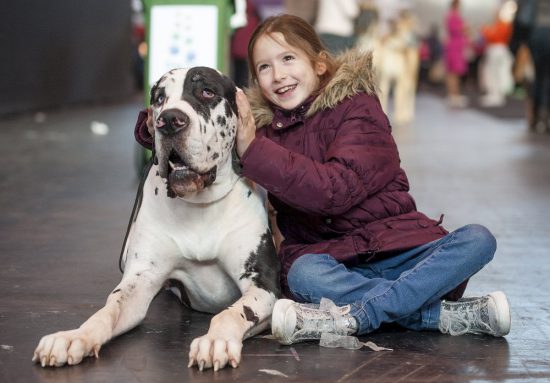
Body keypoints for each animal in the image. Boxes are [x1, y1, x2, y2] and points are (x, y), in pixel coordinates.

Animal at [33, 67, 280, 372]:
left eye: (207, 92)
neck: (199, 205)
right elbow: (108, 309)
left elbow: (231, 313)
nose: (170, 121)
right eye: (160, 98)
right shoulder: (140, 279)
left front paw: (215, 340)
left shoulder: (264, 285)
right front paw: (74, 336)